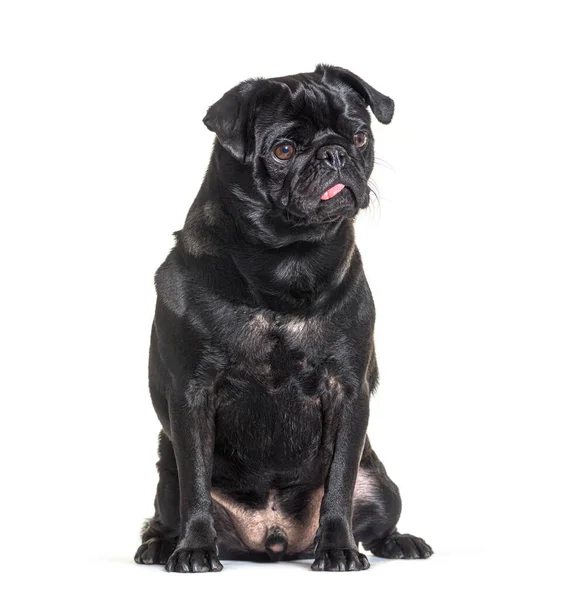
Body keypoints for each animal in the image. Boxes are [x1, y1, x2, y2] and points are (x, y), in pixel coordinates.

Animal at [135, 64, 432, 572]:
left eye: (359, 137)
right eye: (284, 150)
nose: (334, 153)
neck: (287, 263)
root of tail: (273, 541)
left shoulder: (347, 392)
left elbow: (339, 483)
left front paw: (338, 548)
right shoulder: (192, 395)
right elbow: (196, 484)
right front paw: (194, 549)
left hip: (380, 482)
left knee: (375, 514)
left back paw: (398, 541)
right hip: (165, 470)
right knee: (170, 503)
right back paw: (160, 544)